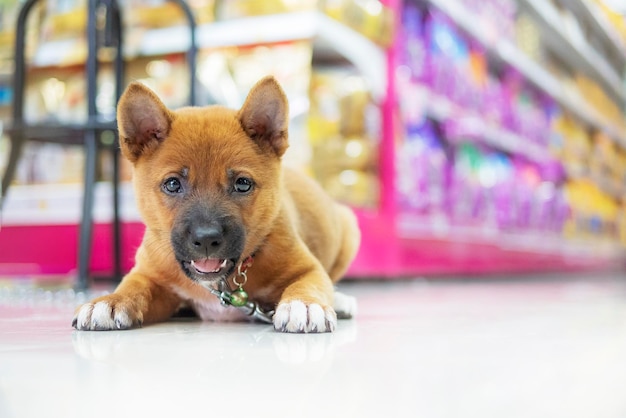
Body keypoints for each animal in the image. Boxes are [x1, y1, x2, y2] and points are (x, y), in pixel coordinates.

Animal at [72, 76, 360, 334]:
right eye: (173, 184)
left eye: (242, 184)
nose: (207, 240)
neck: (223, 283)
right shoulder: (149, 274)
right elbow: (133, 286)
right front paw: (109, 302)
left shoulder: (308, 268)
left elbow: (309, 284)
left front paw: (305, 305)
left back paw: (340, 300)